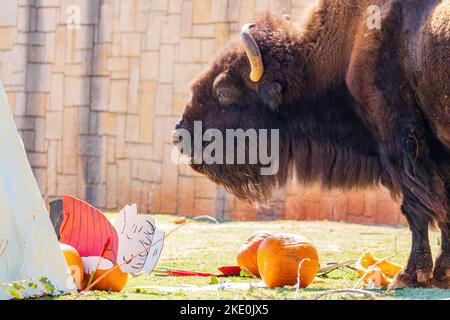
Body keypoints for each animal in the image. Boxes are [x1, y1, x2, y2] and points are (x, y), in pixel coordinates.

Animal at [173, 0, 450, 290]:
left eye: (224, 90)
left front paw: (409, 275)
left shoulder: (401, 143)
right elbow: (444, 207)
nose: (180, 134)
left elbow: (416, 208)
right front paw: (441, 274)